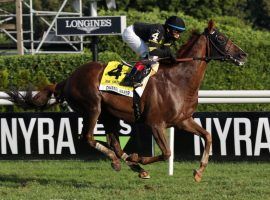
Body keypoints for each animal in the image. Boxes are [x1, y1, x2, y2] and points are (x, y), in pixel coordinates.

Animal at [6, 20, 247, 181]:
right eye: (221, 38)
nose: (243, 55)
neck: (178, 80)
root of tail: (67, 79)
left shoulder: (182, 120)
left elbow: (208, 136)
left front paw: (199, 171)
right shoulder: (156, 123)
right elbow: (166, 153)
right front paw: (138, 157)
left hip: (109, 114)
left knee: (113, 142)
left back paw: (132, 165)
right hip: (92, 108)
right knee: (88, 137)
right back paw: (120, 161)